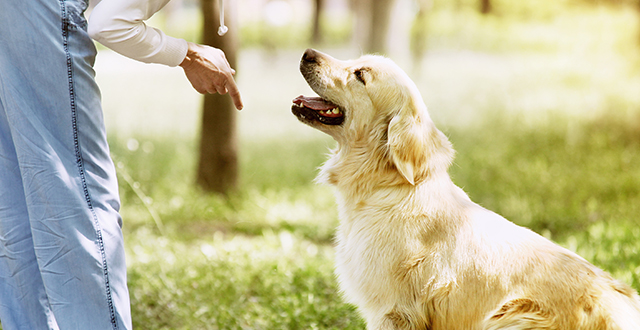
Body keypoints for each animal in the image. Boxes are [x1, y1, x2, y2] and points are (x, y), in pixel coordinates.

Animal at [292, 47, 640, 328]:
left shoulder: (394, 311)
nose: (308, 52)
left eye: (360, 75)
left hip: (510, 316)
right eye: (356, 61)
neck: (388, 186)